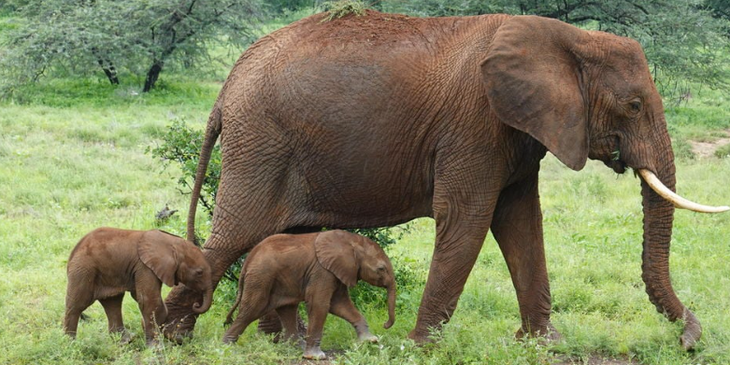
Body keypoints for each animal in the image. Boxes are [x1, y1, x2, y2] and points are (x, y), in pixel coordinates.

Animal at [63, 228, 212, 344]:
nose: (196, 305)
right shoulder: (144, 267)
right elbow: (148, 300)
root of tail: (73, 252)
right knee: (77, 305)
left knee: (112, 302)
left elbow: (143, 297)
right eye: (199, 272)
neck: (172, 243)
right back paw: (70, 344)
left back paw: (126, 341)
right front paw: (155, 346)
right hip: (83, 270)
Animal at [222, 229, 396, 360]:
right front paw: (316, 357)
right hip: (261, 277)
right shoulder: (321, 271)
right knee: (251, 310)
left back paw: (296, 348)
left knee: (287, 310)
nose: (385, 325)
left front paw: (370, 341)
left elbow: (340, 305)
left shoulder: (336, 271)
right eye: (381, 269)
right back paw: (226, 348)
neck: (351, 240)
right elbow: (320, 304)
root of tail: (248, 259)